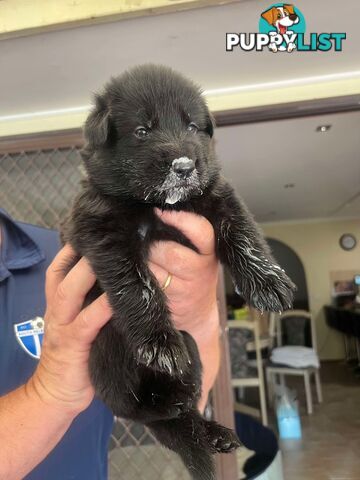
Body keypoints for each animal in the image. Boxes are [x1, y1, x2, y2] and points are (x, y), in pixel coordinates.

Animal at [63, 64, 296, 480]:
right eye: (142, 131)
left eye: (191, 126)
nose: (184, 167)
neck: (157, 205)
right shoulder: (104, 231)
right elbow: (138, 286)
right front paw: (159, 343)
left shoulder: (218, 196)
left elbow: (243, 232)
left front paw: (268, 282)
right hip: (106, 348)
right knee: (136, 407)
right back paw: (163, 401)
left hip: (193, 350)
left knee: (183, 415)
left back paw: (211, 429)